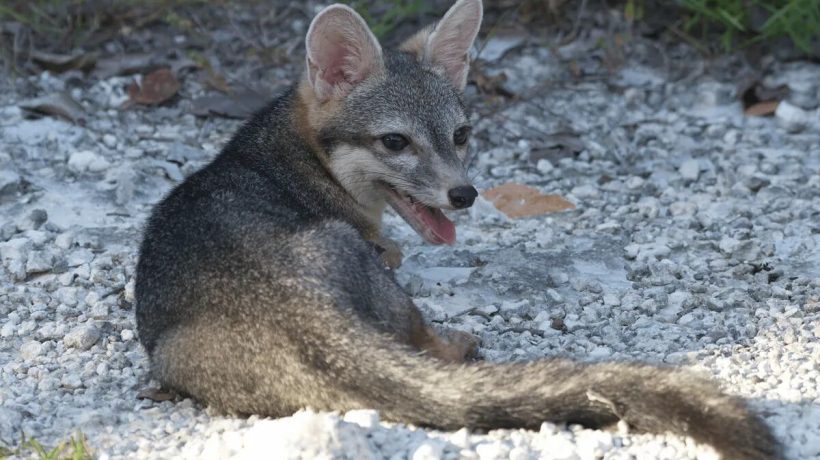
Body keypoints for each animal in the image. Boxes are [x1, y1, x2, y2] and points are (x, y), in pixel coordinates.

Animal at [134, 0, 780, 458]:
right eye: (396, 142)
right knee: (424, 339)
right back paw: (458, 345)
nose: (464, 195)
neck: (289, 158)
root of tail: (300, 313)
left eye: (462, 135)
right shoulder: (379, 250)